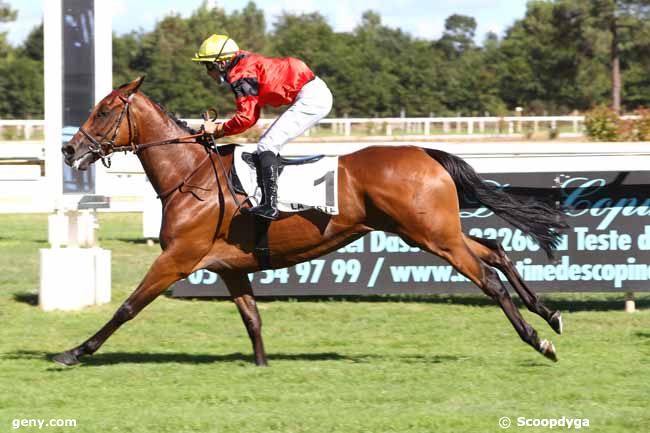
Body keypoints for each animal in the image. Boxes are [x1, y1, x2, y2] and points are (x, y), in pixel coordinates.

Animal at [55, 77, 560, 364]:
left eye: (104, 110)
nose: (68, 149)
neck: (191, 175)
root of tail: (424, 152)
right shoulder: (228, 267)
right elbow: (253, 319)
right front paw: (261, 367)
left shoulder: (178, 259)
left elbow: (126, 307)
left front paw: (74, 352)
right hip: (432, 232)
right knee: (495, 249)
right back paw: (550, 315)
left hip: (433, 237)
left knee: (488, 279)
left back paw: (537, 339)